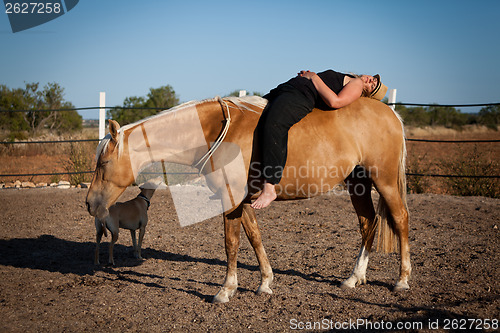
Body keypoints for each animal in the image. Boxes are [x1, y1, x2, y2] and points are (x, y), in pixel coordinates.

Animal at [86, 94, 410, 302]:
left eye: (104, 162)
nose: (90, 203)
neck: (217, 131)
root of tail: (390, 113)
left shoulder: (230, 200)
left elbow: (231, 243)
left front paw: (226, 290)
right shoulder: (243, 202)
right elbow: (254, 237)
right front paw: (265, 283)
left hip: (384, 182)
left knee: (400, 220)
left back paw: (402, 280)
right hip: (358, 183)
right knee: (368, 223)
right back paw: (355, 277)